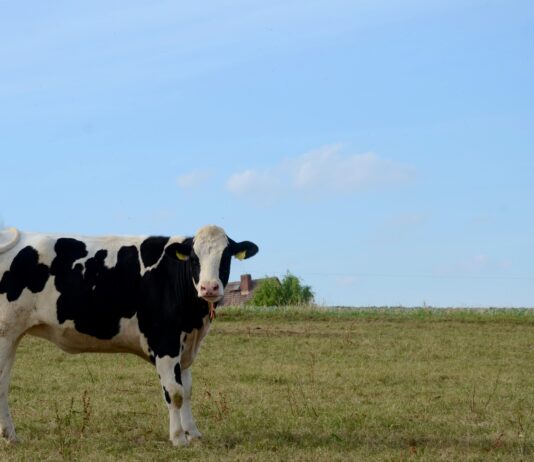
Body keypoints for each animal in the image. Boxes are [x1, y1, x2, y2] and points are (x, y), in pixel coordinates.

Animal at [0, 226, 260, 446]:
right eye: (195, 258)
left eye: (225, 257)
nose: (209, 287)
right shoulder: (165, 343)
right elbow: (174, 392)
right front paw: (178, 438)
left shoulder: (184, 347)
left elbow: (186, 390)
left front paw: (193, 433)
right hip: (6, 333)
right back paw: (10, 436)